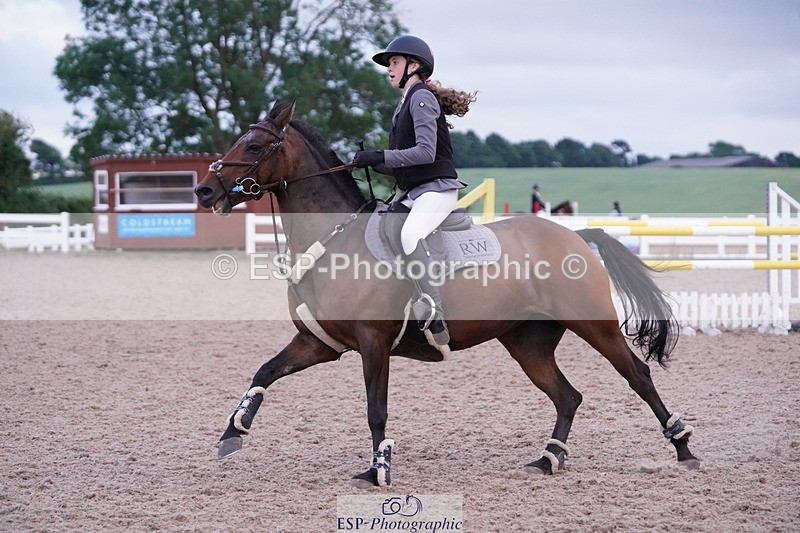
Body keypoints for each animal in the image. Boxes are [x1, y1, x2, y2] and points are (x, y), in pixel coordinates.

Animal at [195, 100, 698, 487]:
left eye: (253, 146)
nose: (204, 190)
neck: (333, 240)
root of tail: (575, 236)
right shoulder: (320, 343)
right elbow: (265, 371)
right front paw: (233, 432)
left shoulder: (373, 344)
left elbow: (376, 409)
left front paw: (379, 471)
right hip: (528, 344)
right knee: (567, 397)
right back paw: (548, 458)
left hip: (594, 325)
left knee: (637, 375)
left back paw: (683, 447)